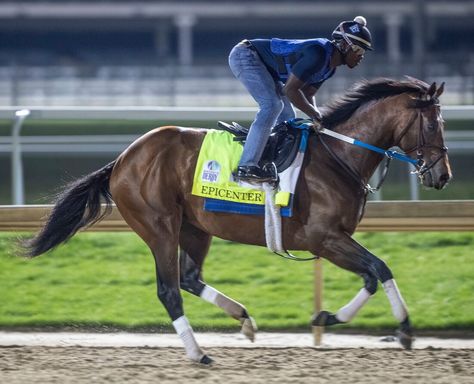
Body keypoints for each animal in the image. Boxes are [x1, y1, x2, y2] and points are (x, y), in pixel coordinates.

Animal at [22, 77, 452, 364]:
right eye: (434, 124)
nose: (442, 174)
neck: (338, 156)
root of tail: (123, 159)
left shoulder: (336, 238)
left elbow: (372, 275)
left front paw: (328, 316)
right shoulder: (323, 238)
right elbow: (380, 268)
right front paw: (405, 330)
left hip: (195, 228)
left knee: (189, 278)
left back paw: (244, 320)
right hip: (158, 225)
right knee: (169, 290)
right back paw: (198, 353)